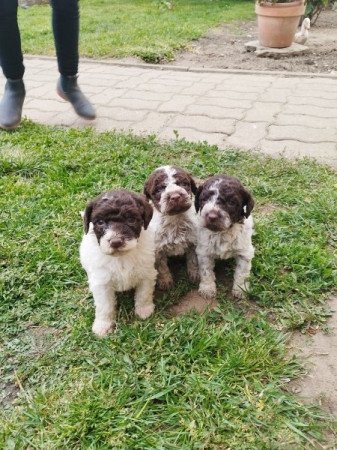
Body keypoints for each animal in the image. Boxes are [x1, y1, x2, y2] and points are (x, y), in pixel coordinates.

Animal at [79, 189, 156, 334]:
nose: (115, 242)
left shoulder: (146, 274)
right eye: (100, 222)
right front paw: (103, 325)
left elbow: (144, 294)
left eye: (131, 219)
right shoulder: (101, 282)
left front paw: (144, 310)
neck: (120, 257)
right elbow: (105, 306)